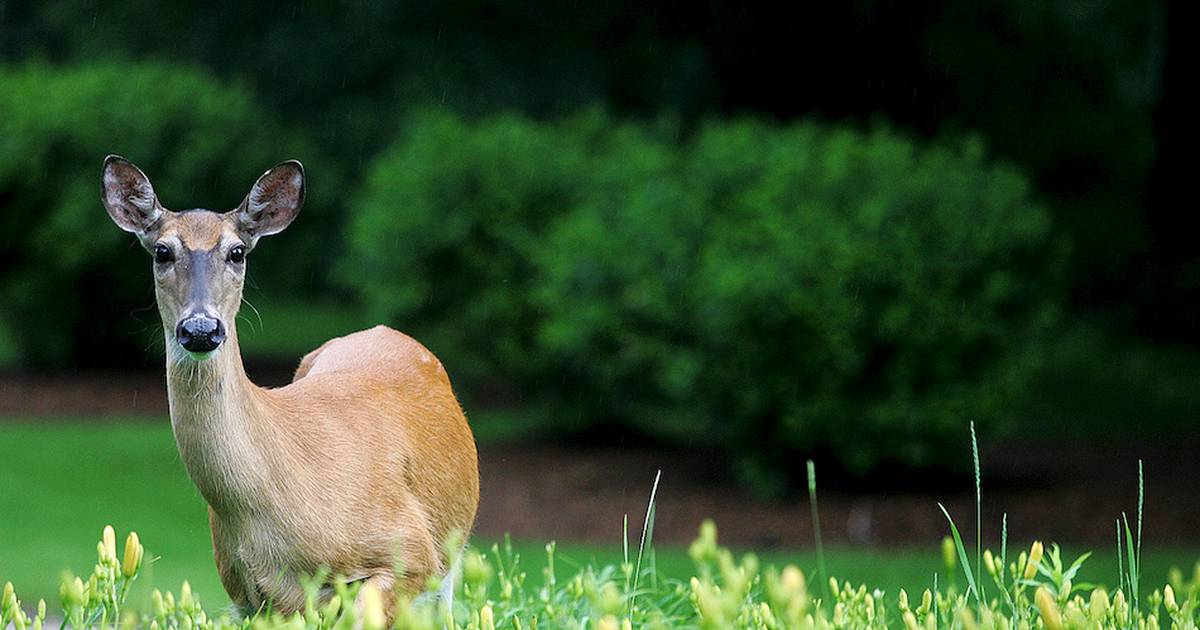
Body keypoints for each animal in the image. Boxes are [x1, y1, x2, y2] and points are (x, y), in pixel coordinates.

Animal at [100, 156, 480, 617]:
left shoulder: (409, 550)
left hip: (448, 560)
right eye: (162, 251)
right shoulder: (248, 596)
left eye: (237, 251)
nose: (201, 328)